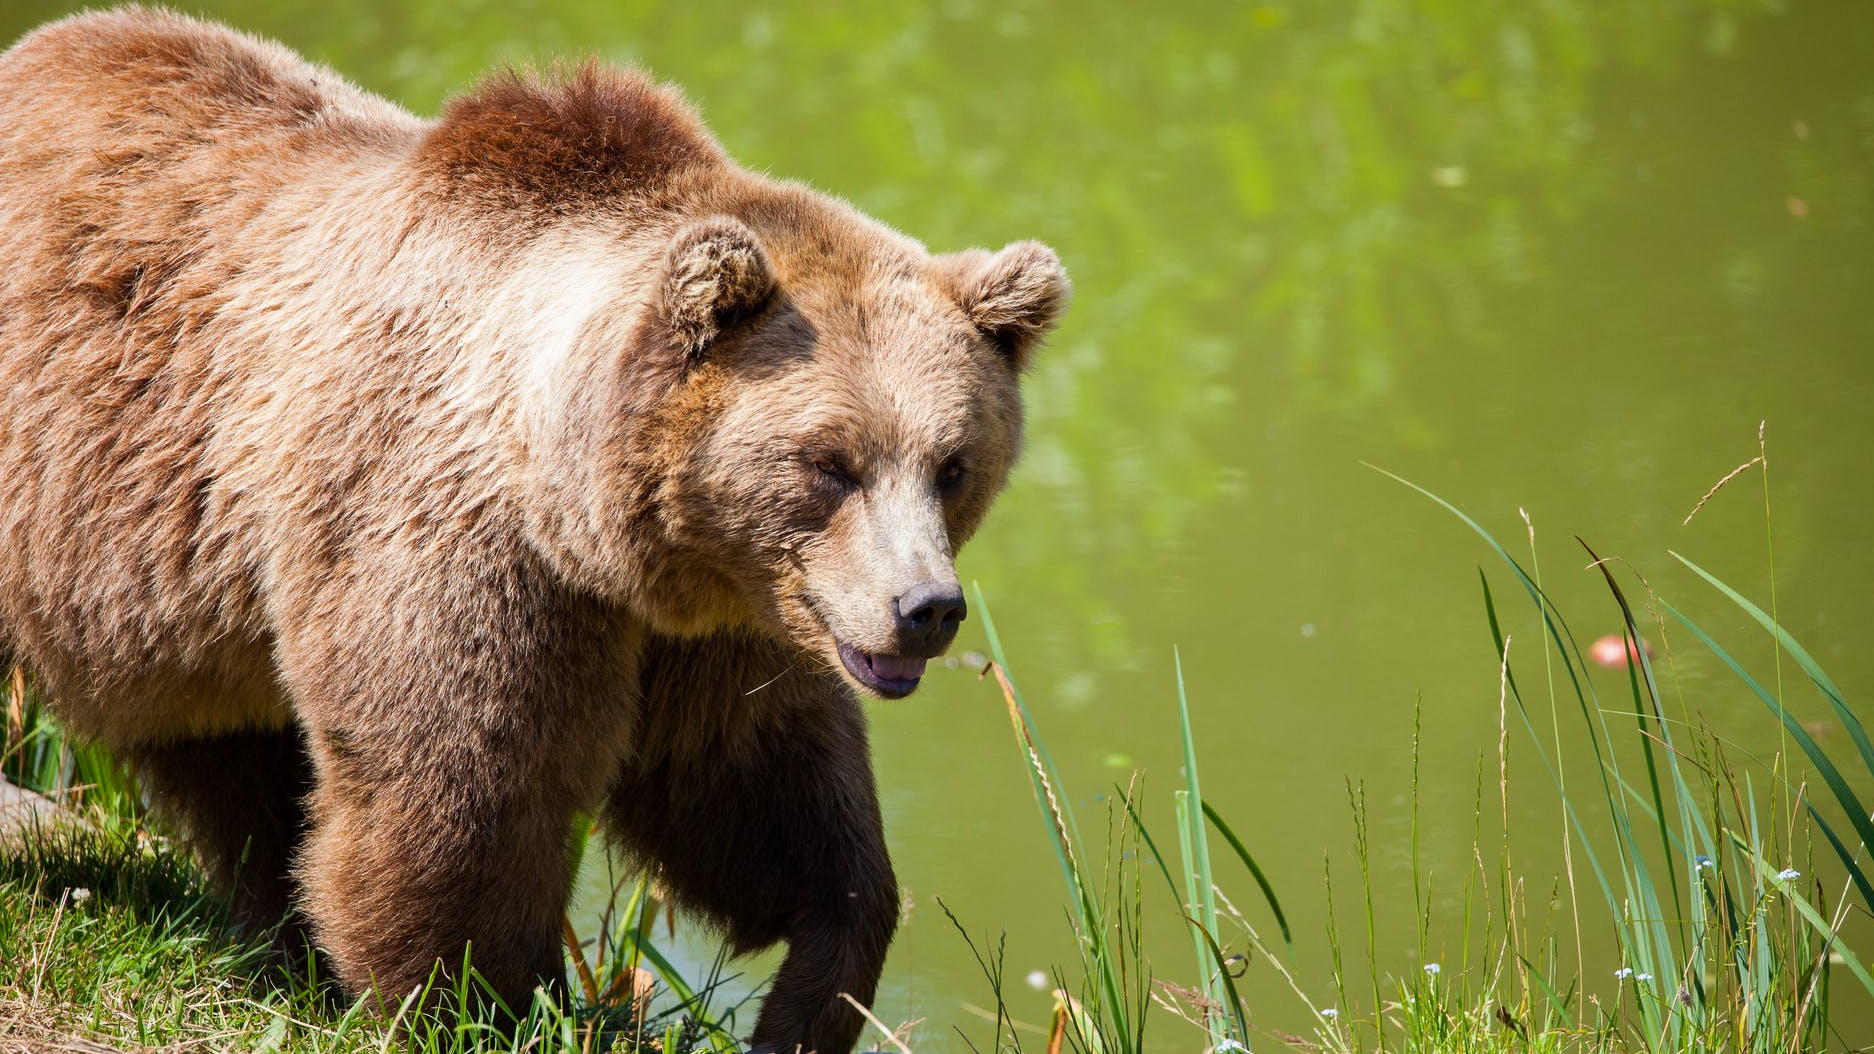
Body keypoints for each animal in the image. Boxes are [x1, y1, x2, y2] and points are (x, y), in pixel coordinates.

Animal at [0, 8, 1070, 1053]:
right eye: (829, 462)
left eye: (953, 464)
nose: (925, 608)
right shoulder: (455, 542)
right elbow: (461, 798)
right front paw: (487, 1003)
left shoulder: (722, 620)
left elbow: (756, 790)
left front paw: (809, 997)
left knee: (229, 756)